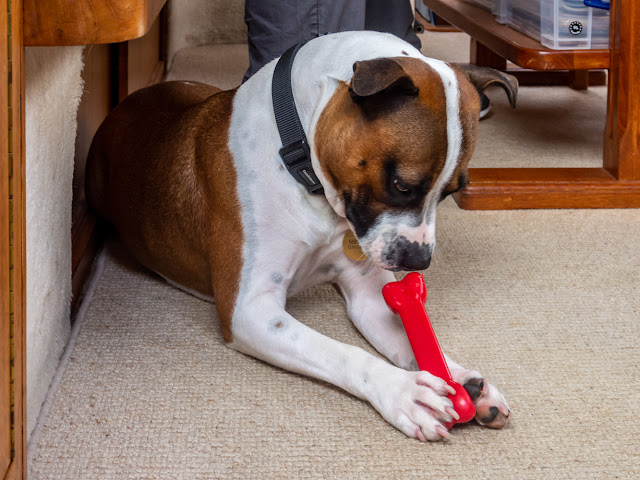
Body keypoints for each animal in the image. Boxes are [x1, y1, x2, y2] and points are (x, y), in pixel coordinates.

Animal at [86, 31, 516, 440]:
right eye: (401, 185)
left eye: (451, 192)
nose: (419, 261)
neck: (300, 162)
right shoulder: (251, 310)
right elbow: (344, 353)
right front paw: (403, 392)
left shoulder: (369, 296)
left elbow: (408, 338)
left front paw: (460, 379)